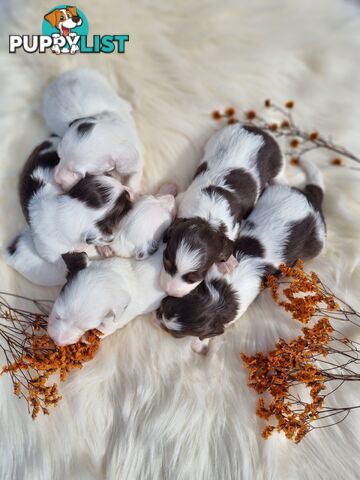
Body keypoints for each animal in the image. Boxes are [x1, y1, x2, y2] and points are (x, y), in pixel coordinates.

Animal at [156, 159, 324, 354]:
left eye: (175, 335)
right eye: (162, 304)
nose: (155, 317)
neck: (219, 295)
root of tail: (311, 200)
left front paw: (199, 344)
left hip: (317, 243)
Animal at [159, 124, 282, 296]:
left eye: (194, 277)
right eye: (165, 260)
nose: (168, 291)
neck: (207, 217)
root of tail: (258, 130)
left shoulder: (234, 225)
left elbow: (228, 243)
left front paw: (227, 262)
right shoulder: (184, 198)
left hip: (278, 163)